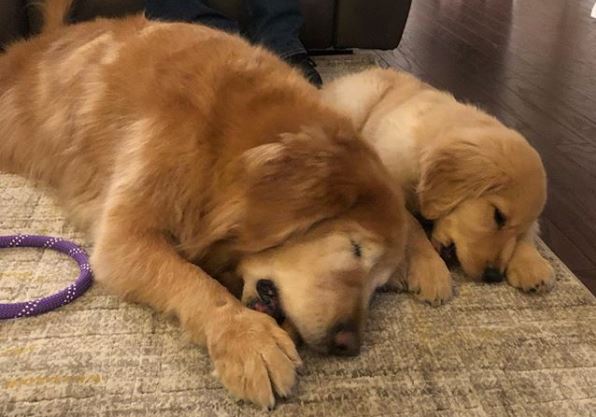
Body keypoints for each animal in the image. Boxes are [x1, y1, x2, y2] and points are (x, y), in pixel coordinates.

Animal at [0, 1, 408, 408]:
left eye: (380, 285)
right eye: (355, 248)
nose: (348, 344)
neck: (225, 146)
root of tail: (51, 36)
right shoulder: (124, 236)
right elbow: (192, 278)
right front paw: (248, 341)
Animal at [324, 70, 552, 300]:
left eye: (518, 230)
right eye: (498, 216)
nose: (493, 276)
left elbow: (531, 231)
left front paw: (531, 263)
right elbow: (413, 227)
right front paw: (432, 272)